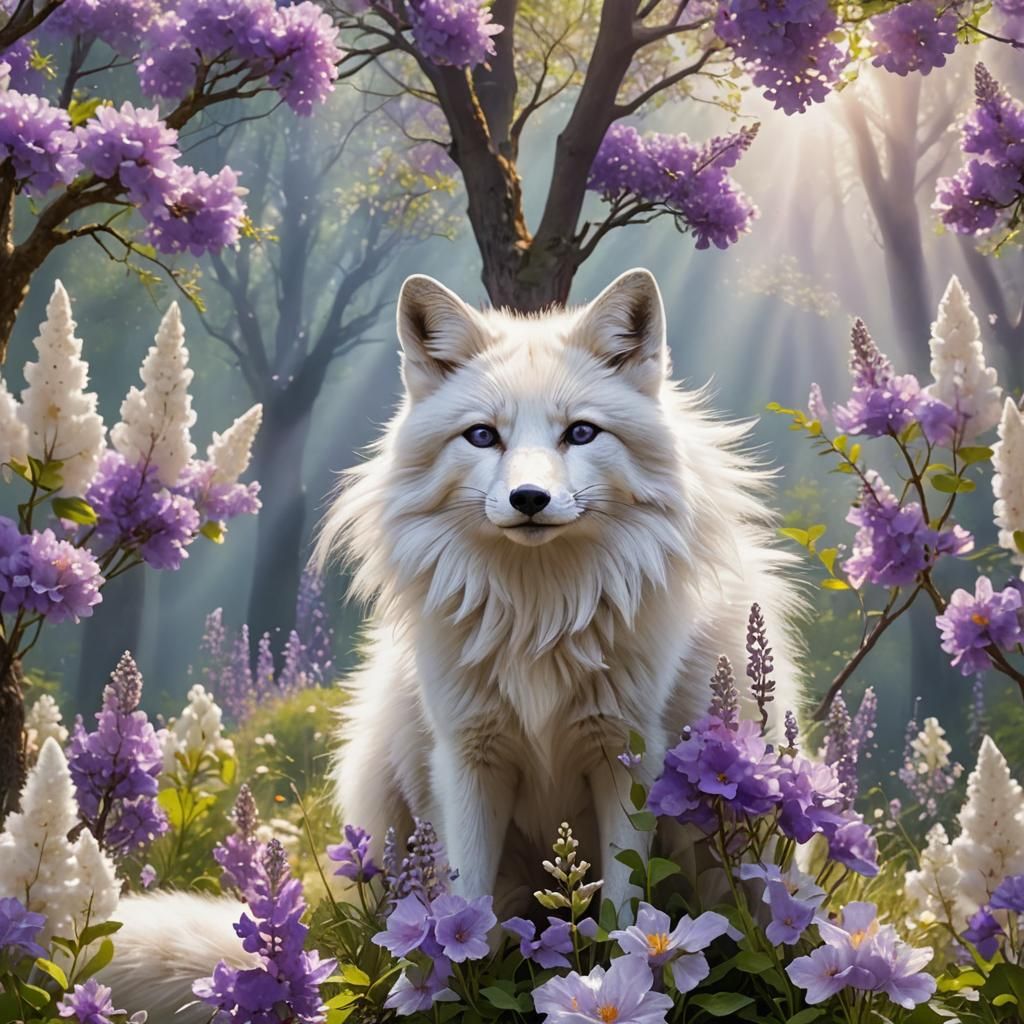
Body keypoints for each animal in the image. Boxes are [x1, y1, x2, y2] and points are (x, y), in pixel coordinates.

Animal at [101, 268, 802, 1022]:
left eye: (581, 433)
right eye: (482, 436)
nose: (529, 499)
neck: (541, 617)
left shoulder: (625, 758)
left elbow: (621, 912)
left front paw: (617, 988)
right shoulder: (468, 760)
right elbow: (467, 911)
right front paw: (455, 988)